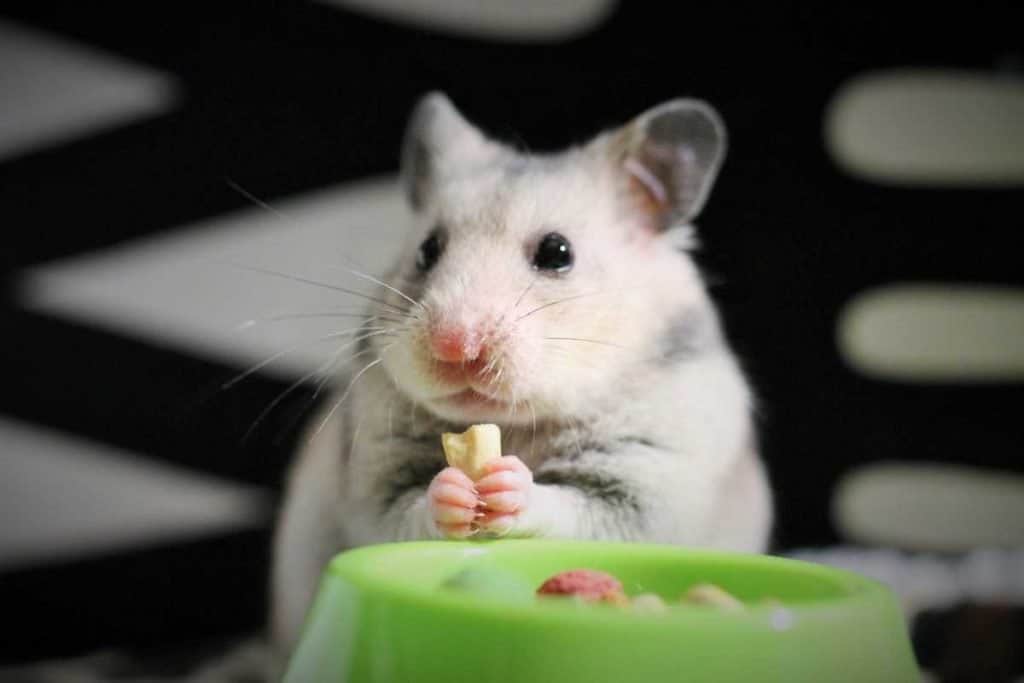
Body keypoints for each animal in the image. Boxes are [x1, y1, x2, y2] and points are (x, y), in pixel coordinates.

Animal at [268, 92, 770, 655]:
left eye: (557, 252)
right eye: (427, 250)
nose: (454, 344)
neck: (516, 424)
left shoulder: (646, 477)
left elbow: (572, 507)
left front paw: (510, 483)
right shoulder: (376, 476)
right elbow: (409, 506)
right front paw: (454, 489)